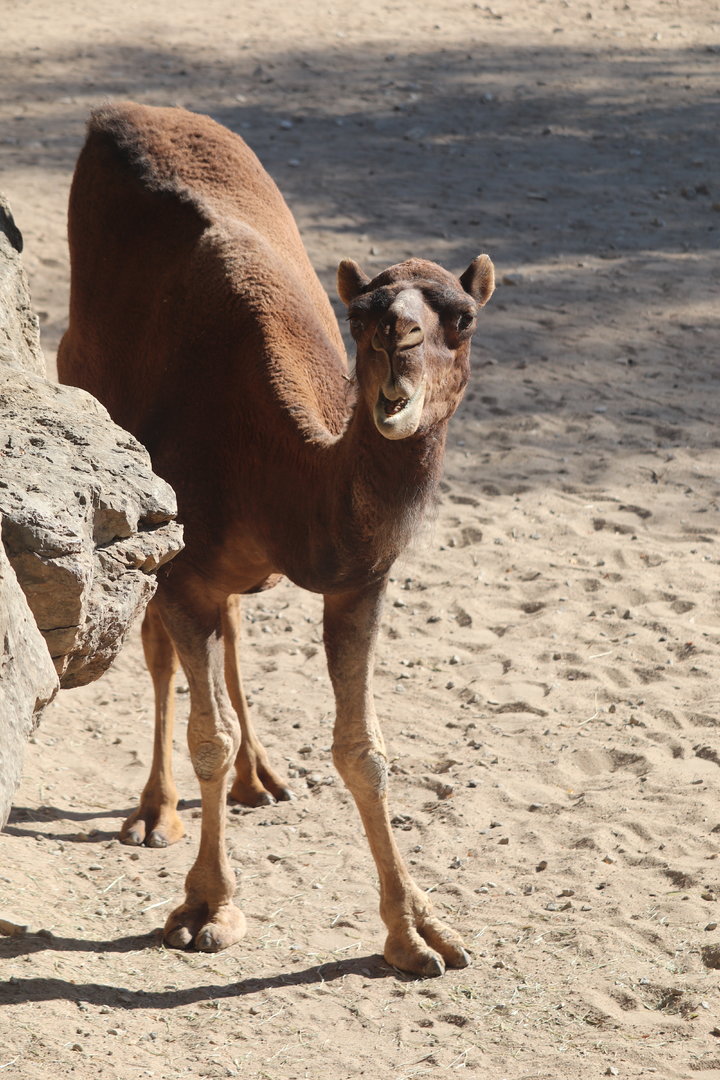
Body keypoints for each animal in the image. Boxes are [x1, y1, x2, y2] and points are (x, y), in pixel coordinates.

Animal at [58, 103, 495, 977]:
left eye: (460, 319)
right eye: (364, 317)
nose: (397, 337)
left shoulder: (359, 581)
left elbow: (363, 750)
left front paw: (417, 933)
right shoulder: (182, 565)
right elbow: (206, 733)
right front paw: (206, 908)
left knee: (233, 629)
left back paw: (262, 779)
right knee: (163, 655)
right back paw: (155, 812)